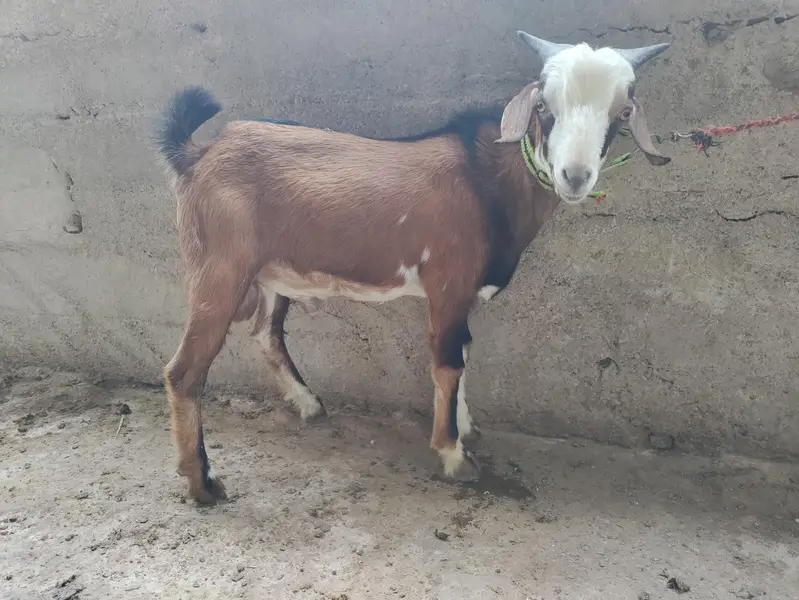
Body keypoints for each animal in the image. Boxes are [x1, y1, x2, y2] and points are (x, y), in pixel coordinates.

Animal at [156, 31, 671, 504]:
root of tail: (197, 153)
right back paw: (203, 484)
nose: (575, 176)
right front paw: (453, 454)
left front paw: (465, 426)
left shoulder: (464, 293)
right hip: (219, 268)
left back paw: (308, 404)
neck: (486, 179)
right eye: (544, 105)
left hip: (270, 273)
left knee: (266, 331)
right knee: (185, 371)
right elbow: (447, 361)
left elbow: (464, 349)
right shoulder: (448, 282)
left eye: (623, 112)